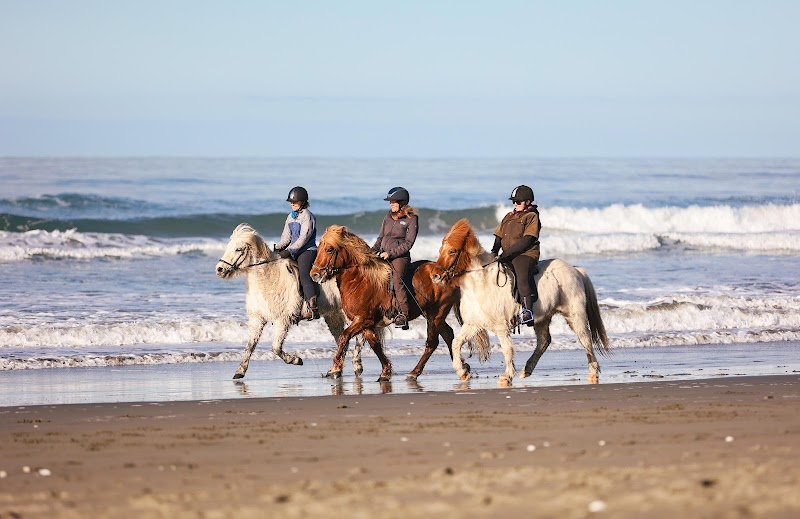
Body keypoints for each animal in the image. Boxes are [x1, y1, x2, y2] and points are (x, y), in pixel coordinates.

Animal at [215, 223, 362, 379]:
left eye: (238, 249)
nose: (219, 269)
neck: (268, 279)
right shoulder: (257, 318)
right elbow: (250, 345)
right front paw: (240, 371)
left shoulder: (283, 320)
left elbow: (276, 347)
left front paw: (296, 360)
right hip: (333, 316)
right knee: (342, 338)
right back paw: (336, 371)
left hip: (350, 314)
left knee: (359, 337)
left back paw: (357, 366)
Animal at [309, 224, 465, 382]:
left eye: (329, 249)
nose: (314, 274)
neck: (360, 280)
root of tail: (448, 273)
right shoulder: (365, 323)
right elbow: (375, 344)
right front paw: (385, 371)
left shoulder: (362, 320)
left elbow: (343, 337)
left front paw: (335, 369)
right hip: (430, 314)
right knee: (448, 334)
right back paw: (462, 367)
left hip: (436, 314)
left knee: (432, 343)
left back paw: (415, 372)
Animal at [432, 219, 609, 385]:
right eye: (441, 250)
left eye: (452, 251)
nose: (435, 276)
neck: (480, 284)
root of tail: (575, 270)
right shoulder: (473, 324)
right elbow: (456, 343)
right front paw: (462, 371)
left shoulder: (501, 326)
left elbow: (507, 349)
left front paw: (506, 376)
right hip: (543, 318)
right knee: (544, 341)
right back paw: (527, 369)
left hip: (574, 315)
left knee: (585, 339)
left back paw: (593, 372)